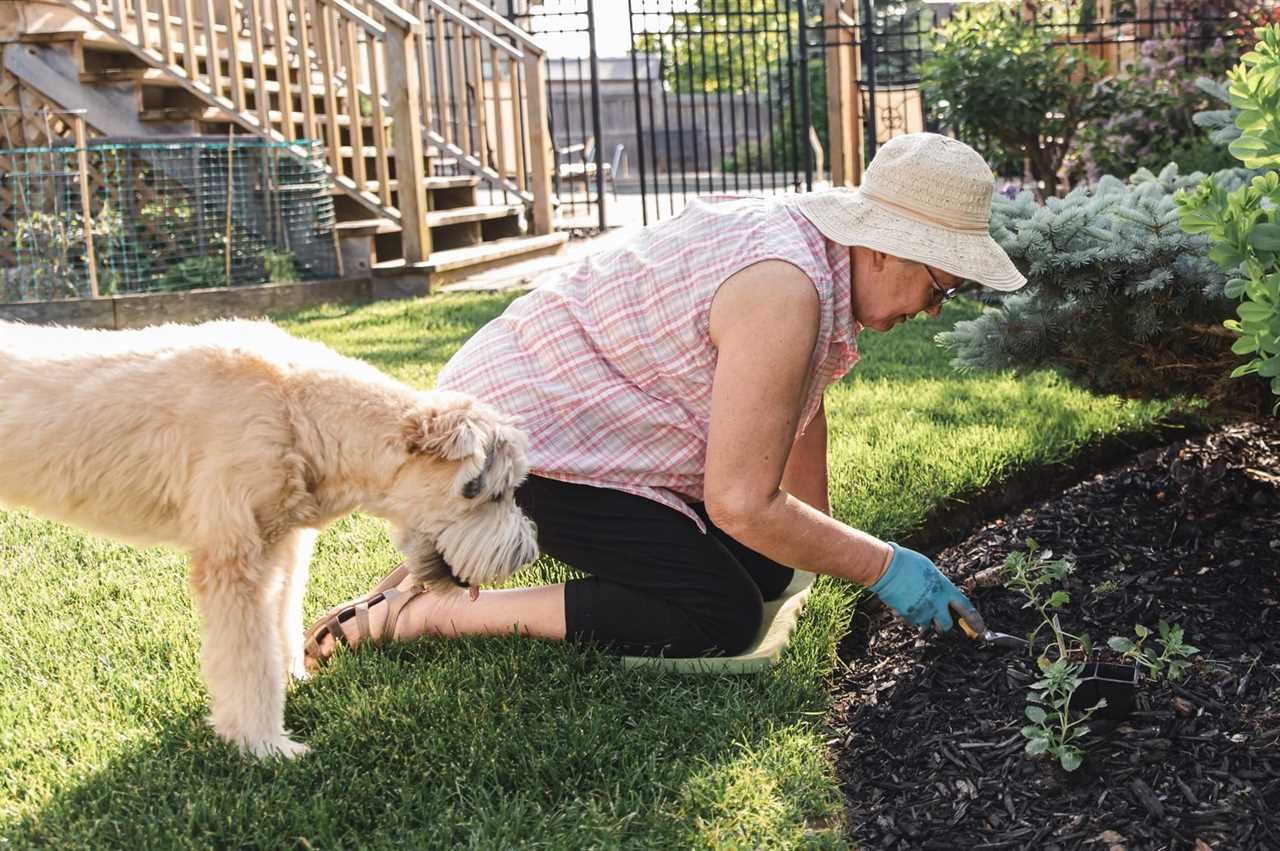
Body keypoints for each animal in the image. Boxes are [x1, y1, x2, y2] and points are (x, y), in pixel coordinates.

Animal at [0, 317, 537, 757]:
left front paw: (294, 679)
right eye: (492, 492)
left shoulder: (284, 548)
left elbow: (282, 622)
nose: (527, 554)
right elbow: (248, 660)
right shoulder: (234, 560)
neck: (296, 409)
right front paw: (262, 743)